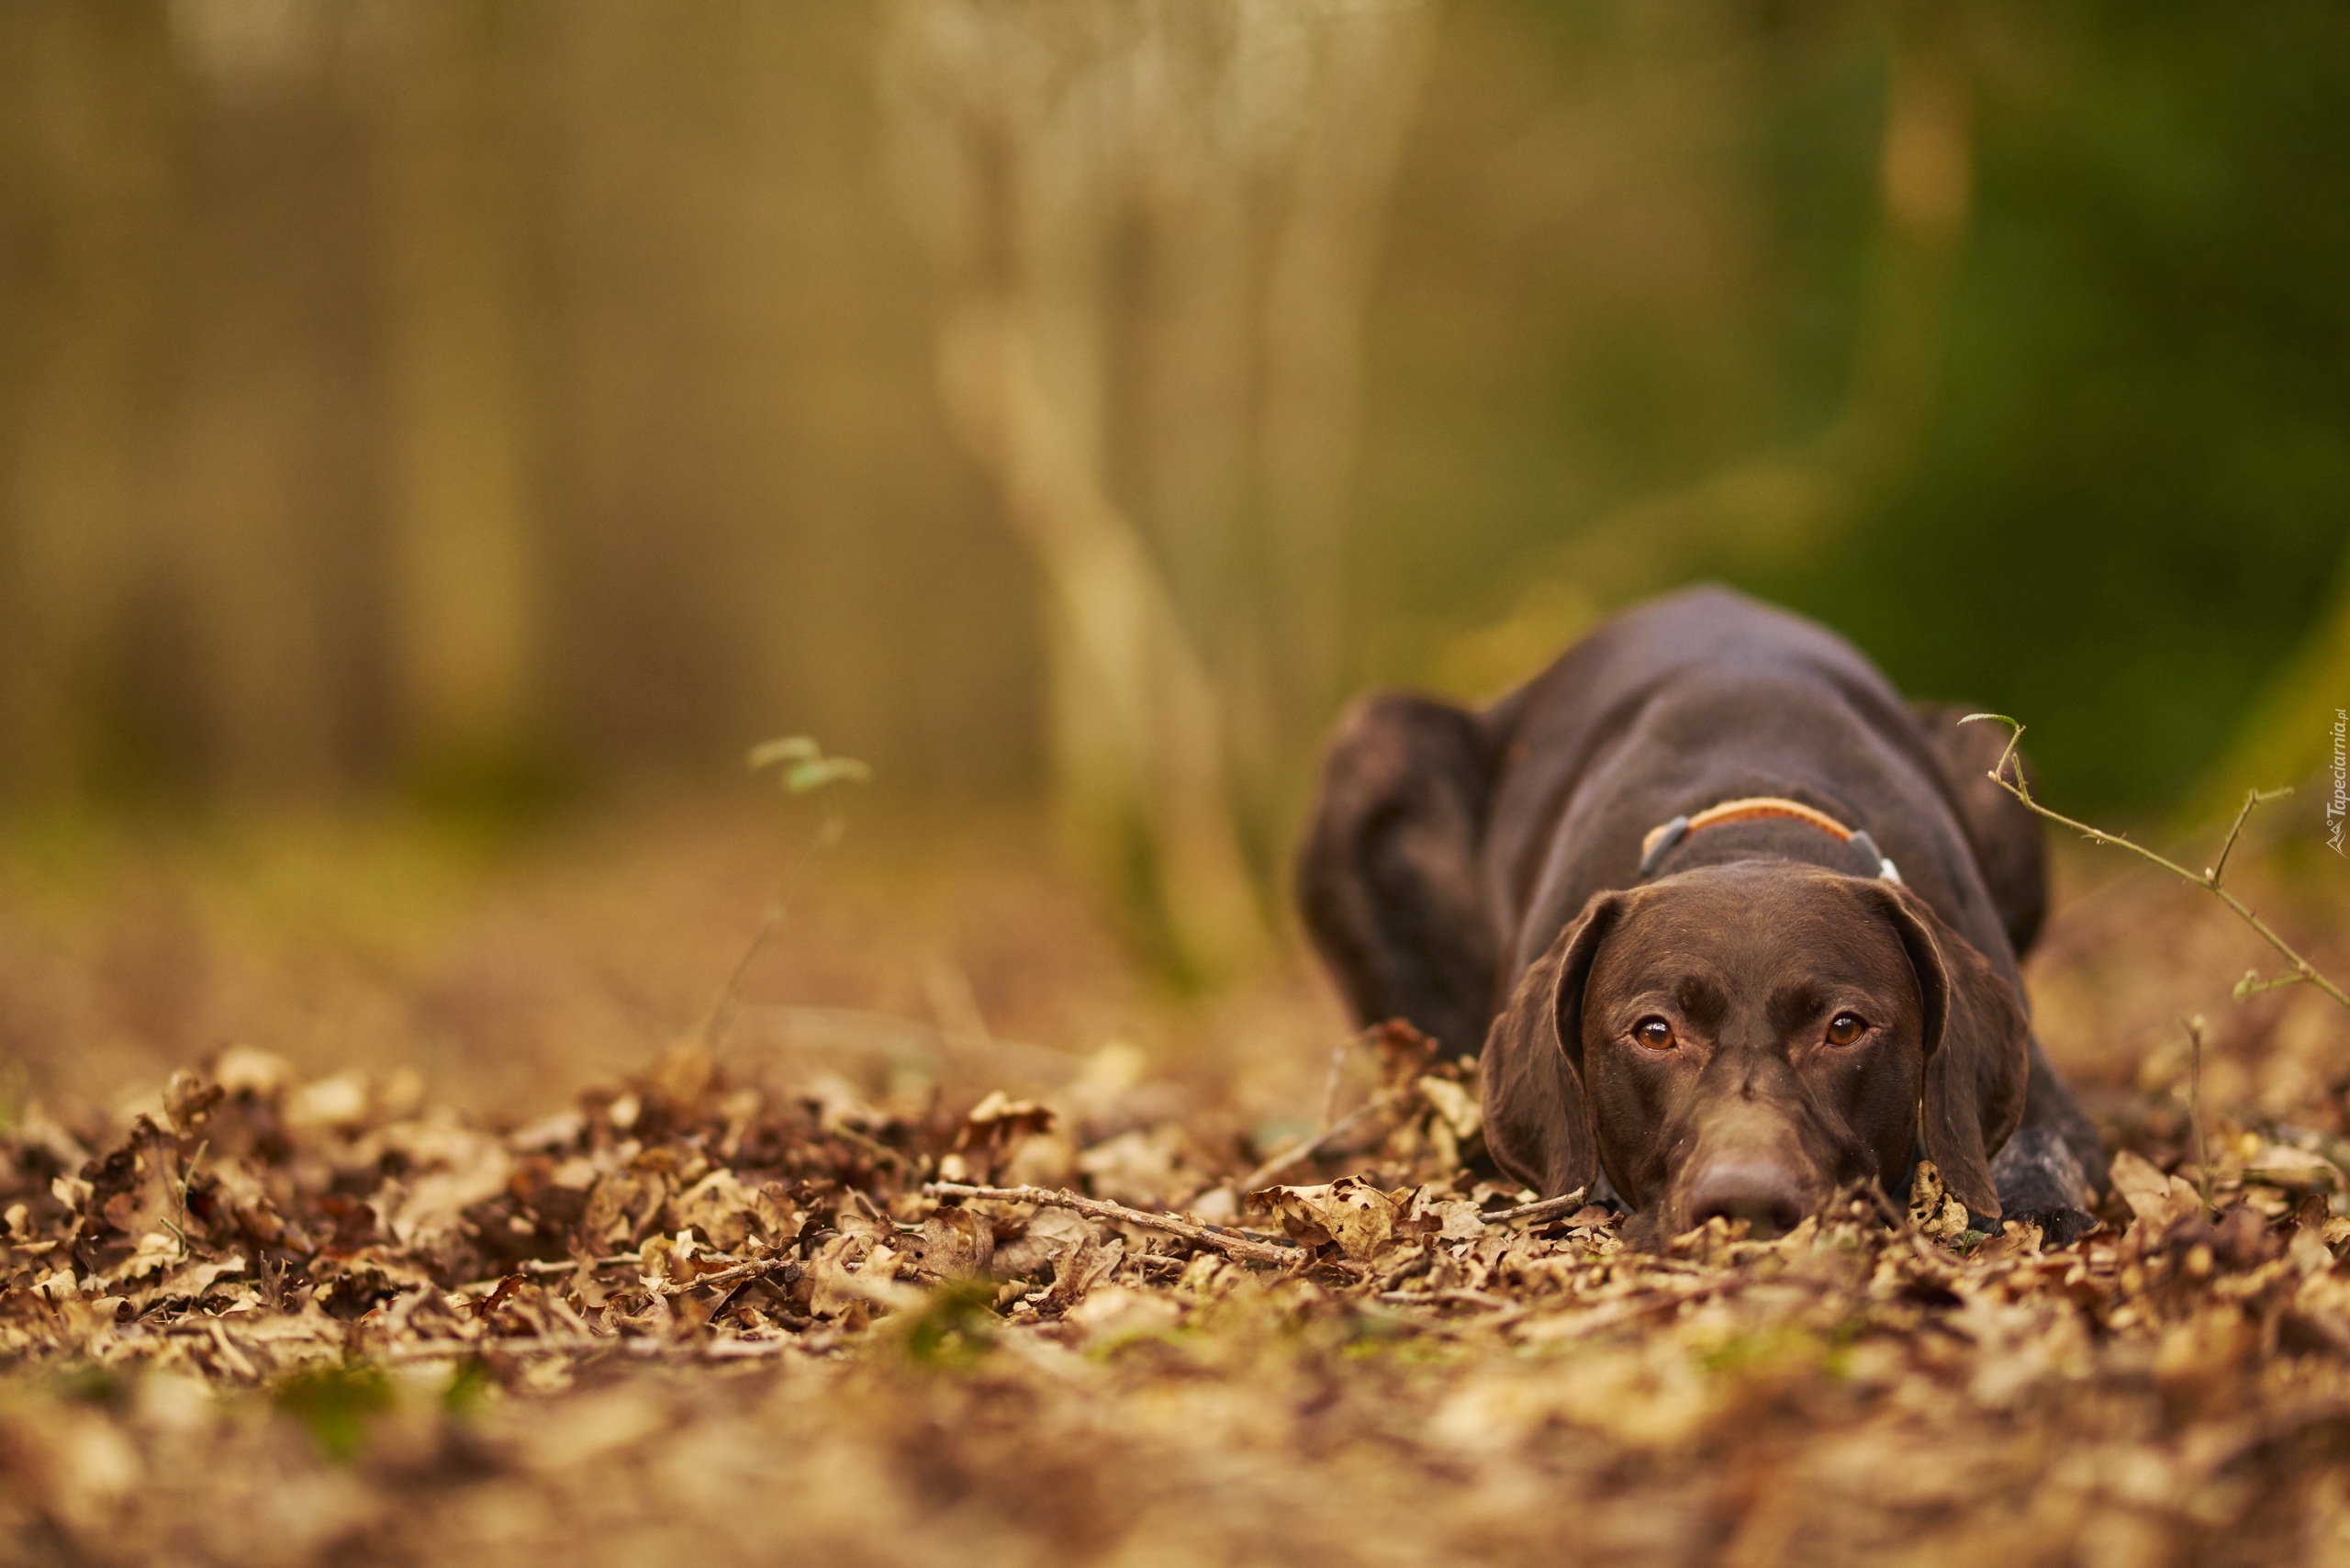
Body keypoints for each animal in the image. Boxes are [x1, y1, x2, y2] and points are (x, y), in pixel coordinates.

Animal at [1297, 583, 2105, 1241]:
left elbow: (2036, 1154)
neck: (1752, 821)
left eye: (1844, 1028)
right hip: (1375, 744)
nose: (1746, 1205)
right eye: (1654, 1033)